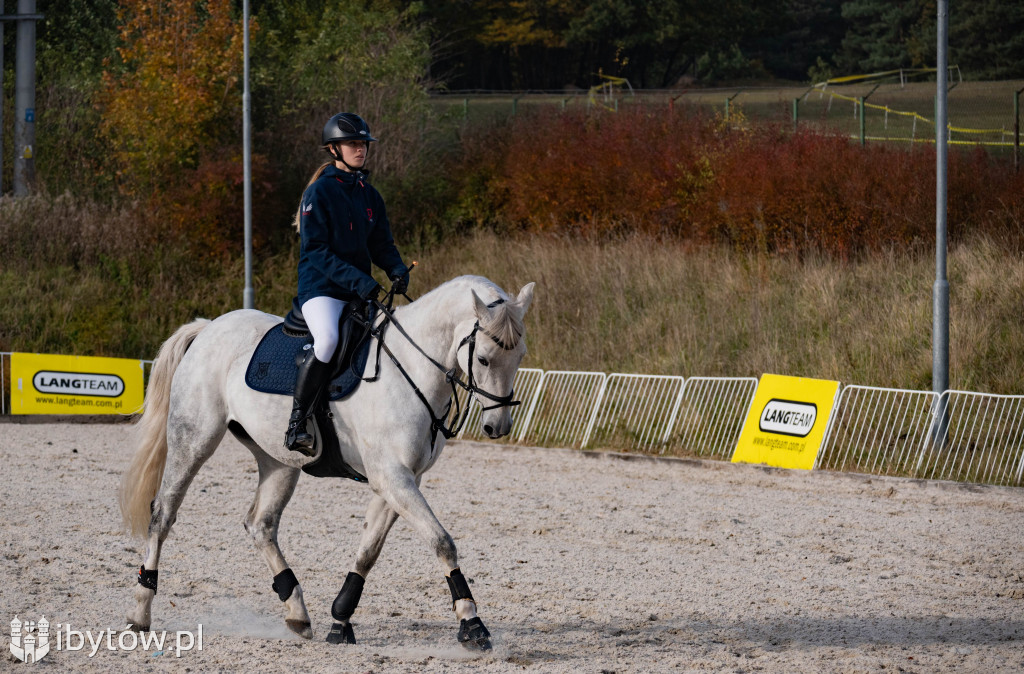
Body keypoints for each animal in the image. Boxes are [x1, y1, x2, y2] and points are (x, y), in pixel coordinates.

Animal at [117, 272, 536, 647]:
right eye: (483, 358)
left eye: (520, 357)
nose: (497, 426)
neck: (412, 369)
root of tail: (207, 329)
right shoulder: (391, 477)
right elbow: (442, 541)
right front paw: (472, 623)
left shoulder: (401, 479)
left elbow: (369, 549)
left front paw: (340, 620)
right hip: (193, 441)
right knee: (163, 513)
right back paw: (140, 612)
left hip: (279, 461)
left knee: (261, 524)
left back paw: (297, 612)